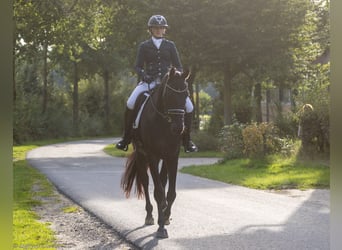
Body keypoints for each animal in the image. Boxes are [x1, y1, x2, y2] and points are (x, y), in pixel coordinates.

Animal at [121, 67, 190, 238]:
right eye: (170, 95)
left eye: (186, 95)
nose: (178, 128)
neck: (164, 122)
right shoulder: (152, 156)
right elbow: (158, 192)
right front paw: (160, 228)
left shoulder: (172, 156)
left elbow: (170, 192)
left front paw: (165, 217)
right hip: (141, 155)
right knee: (145, 182)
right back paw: (149, 215)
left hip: (163, 158)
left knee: (162, 180)